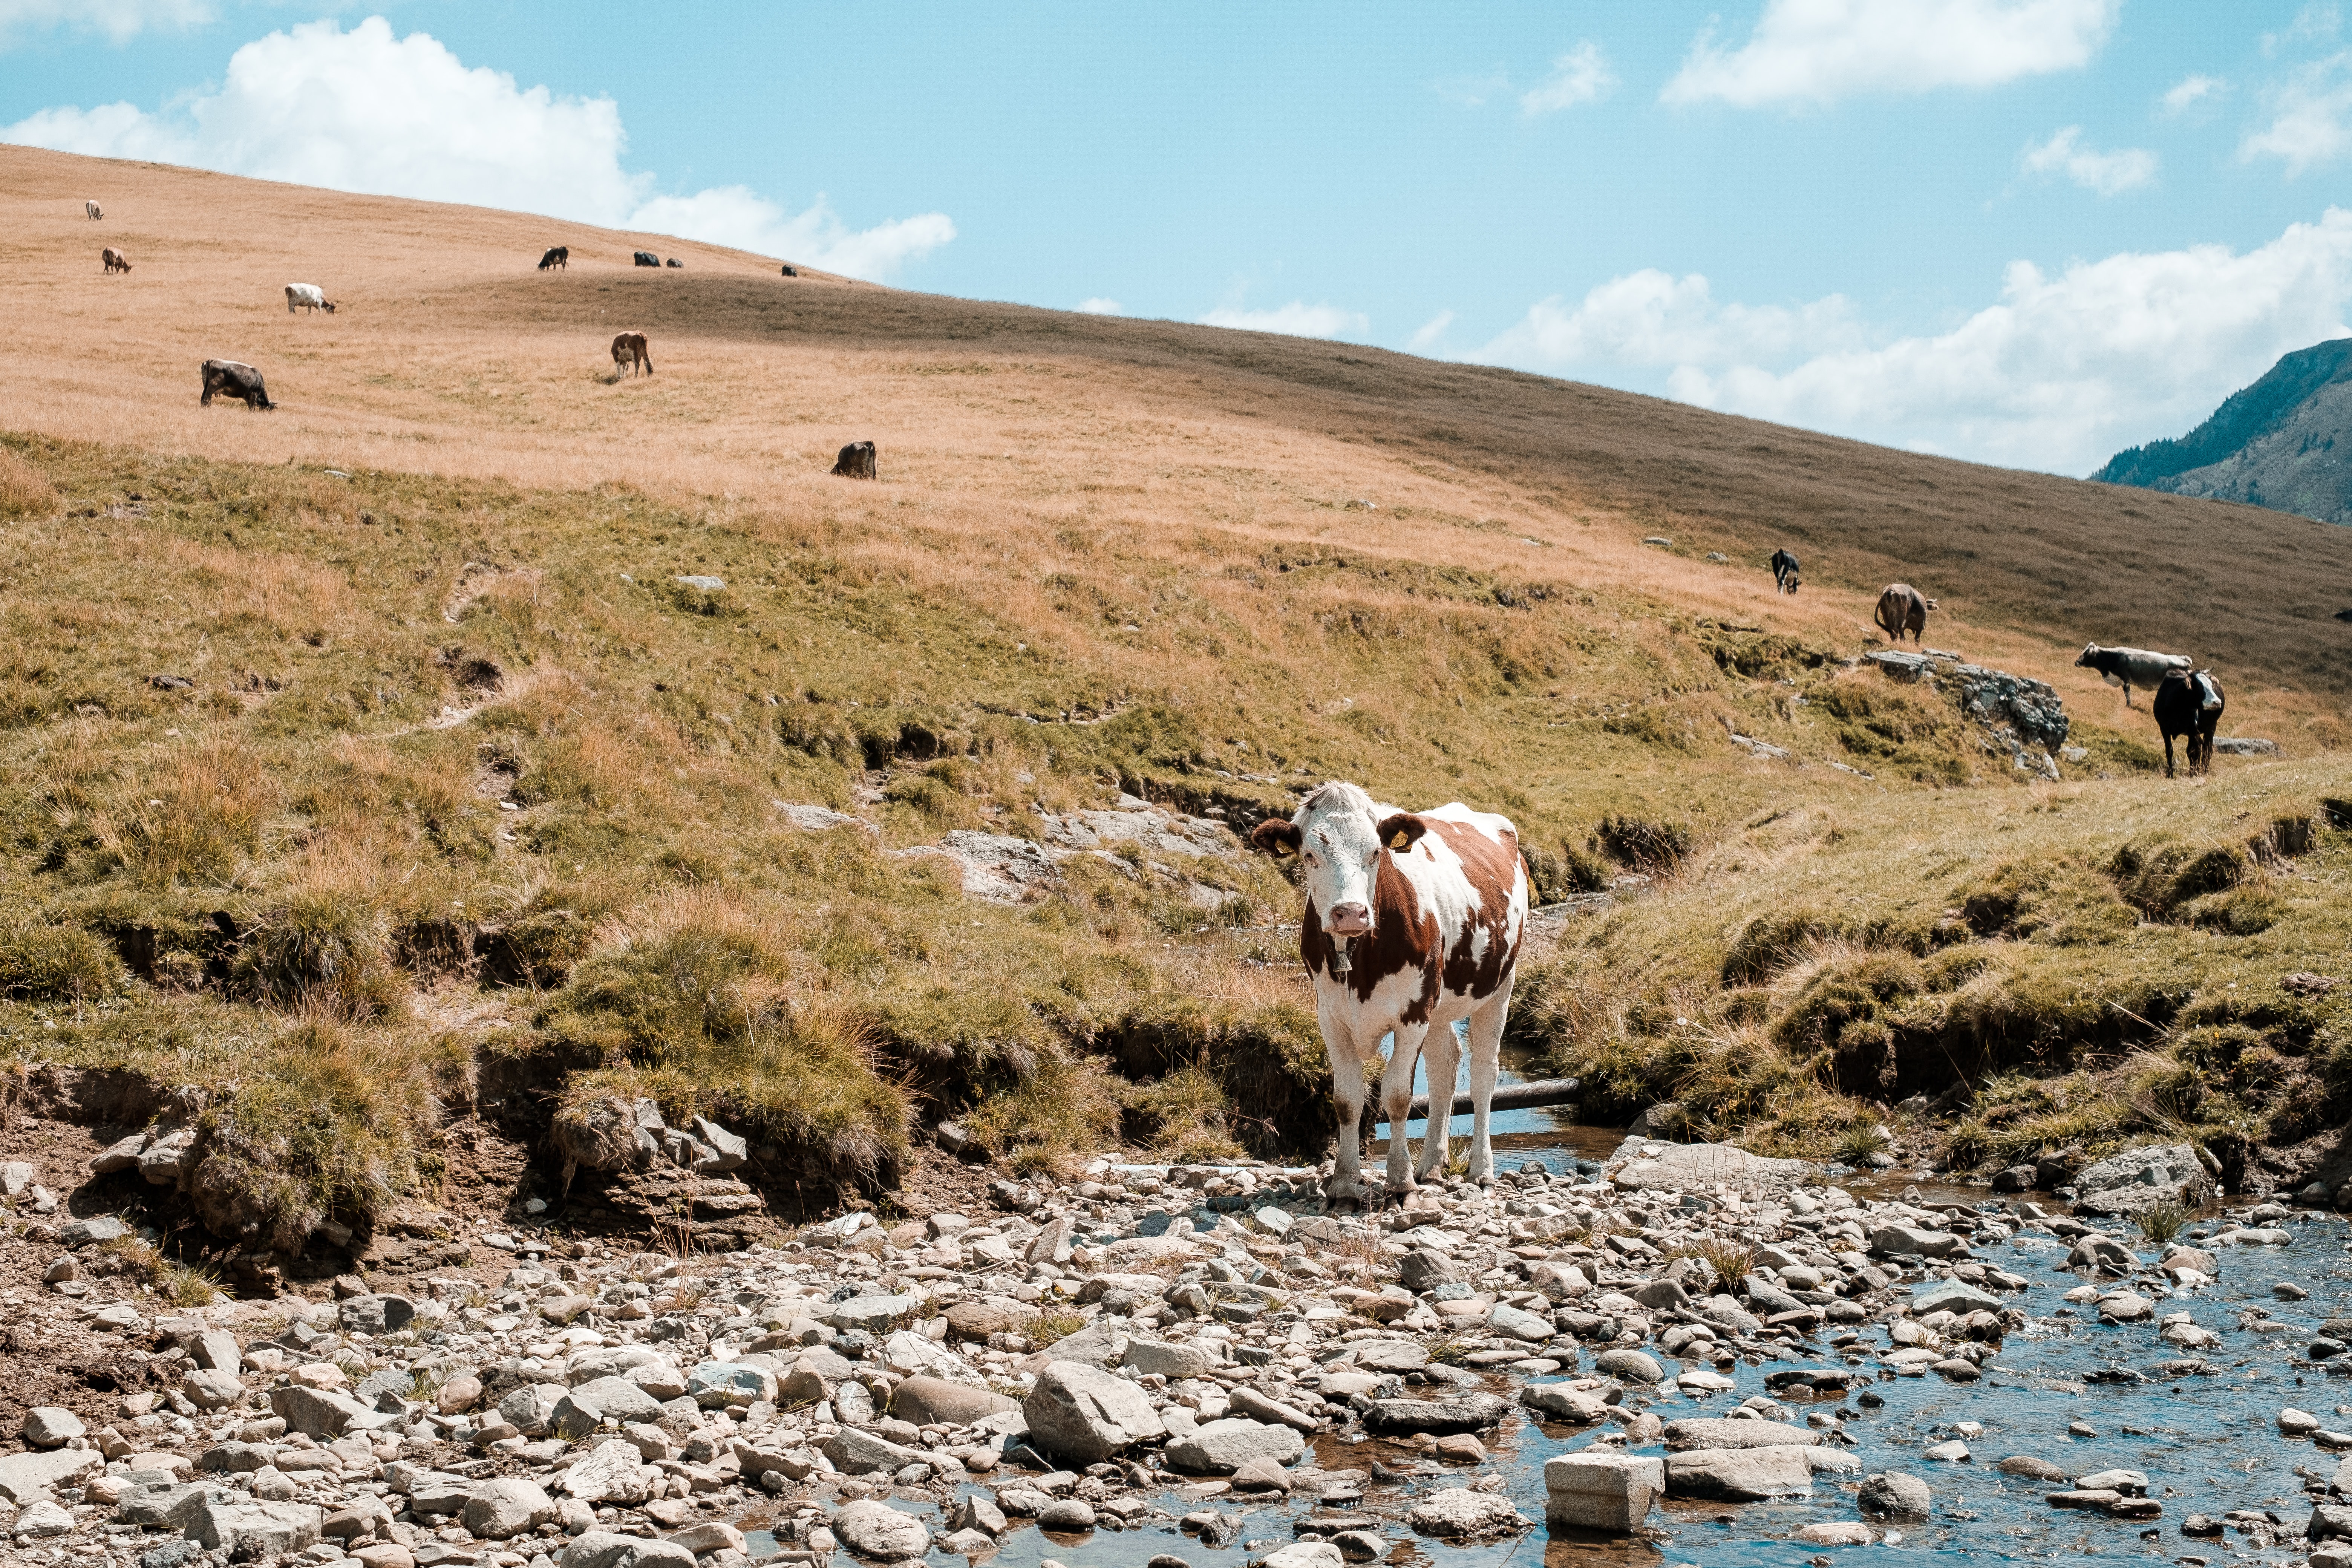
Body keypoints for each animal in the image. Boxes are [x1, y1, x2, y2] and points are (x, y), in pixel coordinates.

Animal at [200, 360, 275, 411]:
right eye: (269, 409)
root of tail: (211, 360)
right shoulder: (254, 394)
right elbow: (252, 407)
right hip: (211, 388)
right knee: (207, 399)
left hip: (206, 388)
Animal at [1260, 780, 1533, 1204]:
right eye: (1309, 855)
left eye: (1376, 852)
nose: (1350, 912)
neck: (1361, 961)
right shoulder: (1330, 1016)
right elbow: (1347, 1099)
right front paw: (1344, 1183)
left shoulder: (1412, 1012)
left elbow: (1398, 1096)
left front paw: (1401, 1182)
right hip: (1440, 1001)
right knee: (1445, 1066)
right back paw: (1432, 1167)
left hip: (1500, 984)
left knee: (1483, 1074)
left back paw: (1481, 1172)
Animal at [1872, 583, 1928, 644]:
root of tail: (1890, 591)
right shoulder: (1921, 627)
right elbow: (1917, 640)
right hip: (1900, 620)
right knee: (1900, 635)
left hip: (1887, 617)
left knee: (1893, 633)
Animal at [2070, 639, 2192, 710]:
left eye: (2087, 654)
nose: (2076, 663)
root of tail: (2184, 658)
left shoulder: (2125, 679)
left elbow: (2127, 694)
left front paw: (2128, 706)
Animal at [2154, 668, 2220, 780]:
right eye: (2199, 686)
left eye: (2212, 685)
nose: (2217, 702)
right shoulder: (2164, 728)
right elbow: (2170, 750)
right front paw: (2170, 774)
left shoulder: (2193, 730)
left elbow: (2194, 751)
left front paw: (2194, 773)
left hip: (2211, 727)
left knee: (2207, 749)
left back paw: (2204, 771)